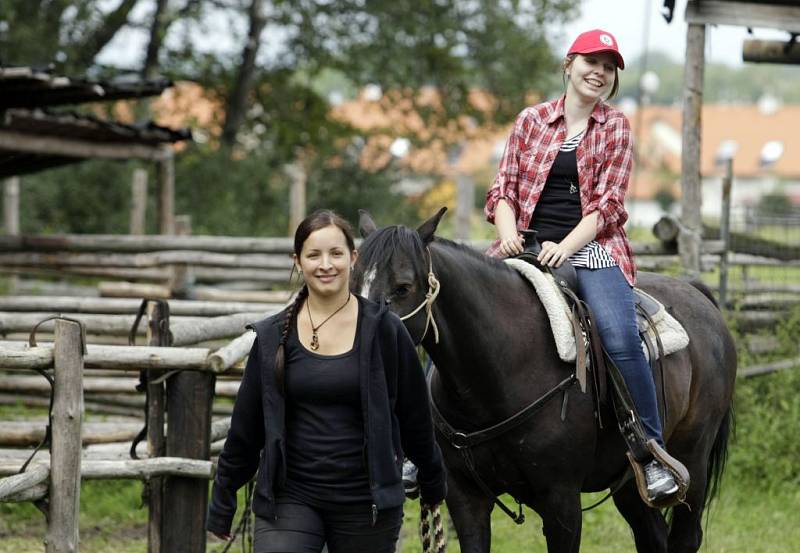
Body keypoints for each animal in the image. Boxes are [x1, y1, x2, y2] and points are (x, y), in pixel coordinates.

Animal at [356, 209, 736, 552]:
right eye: (354, 280)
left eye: (403, 287)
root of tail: (697, 293)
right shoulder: (466, 498)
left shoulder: (561, 502)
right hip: (629, 483)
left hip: (693, 460)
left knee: (686, 537)